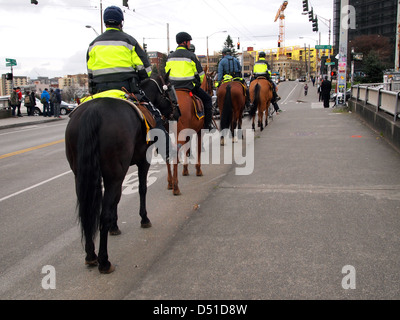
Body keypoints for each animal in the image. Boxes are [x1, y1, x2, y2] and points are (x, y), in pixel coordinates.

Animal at [65, 72, 177, 272]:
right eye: (169, 92)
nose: (176, 112)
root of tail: (92, 112)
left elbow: (116, 200)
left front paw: (115, 226)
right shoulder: (142, 162)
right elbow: (141, 189)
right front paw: (144, 218)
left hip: (82, 175)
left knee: (87, 213)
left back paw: (90, 255)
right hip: (114, 173)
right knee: (102, 214)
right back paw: (104, 261)